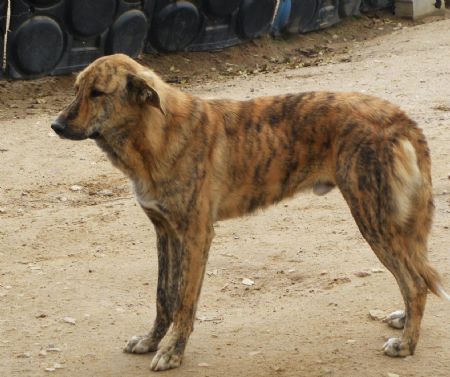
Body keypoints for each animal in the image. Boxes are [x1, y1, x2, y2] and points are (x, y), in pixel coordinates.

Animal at [51, 53, 446, 370]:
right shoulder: (165, 233)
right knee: (416, 278)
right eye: (77, 89)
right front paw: (151, 341)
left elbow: (184, 302)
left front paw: (173, 352)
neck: (156, 134)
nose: (55, 125)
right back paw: (404, 321)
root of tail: (399, 117)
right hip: (391, 223)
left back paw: (407, 344)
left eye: (98, 93)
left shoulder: (196, 235)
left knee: (414, 283)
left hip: (373, 219)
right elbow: (164, 297)